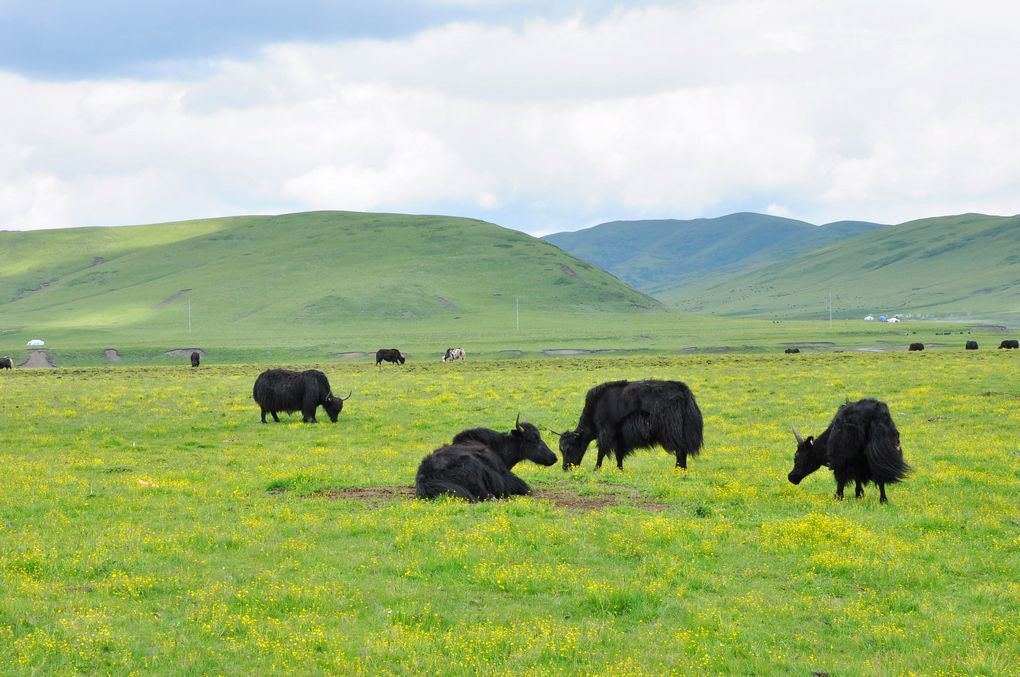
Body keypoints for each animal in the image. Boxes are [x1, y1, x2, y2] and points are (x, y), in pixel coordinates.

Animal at [554, 381, 705, 471]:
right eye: (561, 449)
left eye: (569, 448)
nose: (565, 468)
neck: (596, 408)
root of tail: (684, 391)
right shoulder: (620, 436)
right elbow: (619, 453)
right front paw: (619, 469)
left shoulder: (606, 432)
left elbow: (601, 451)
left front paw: (596, 469)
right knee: (682, 450)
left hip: (672, 432)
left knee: (680, 450)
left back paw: (679, 469)